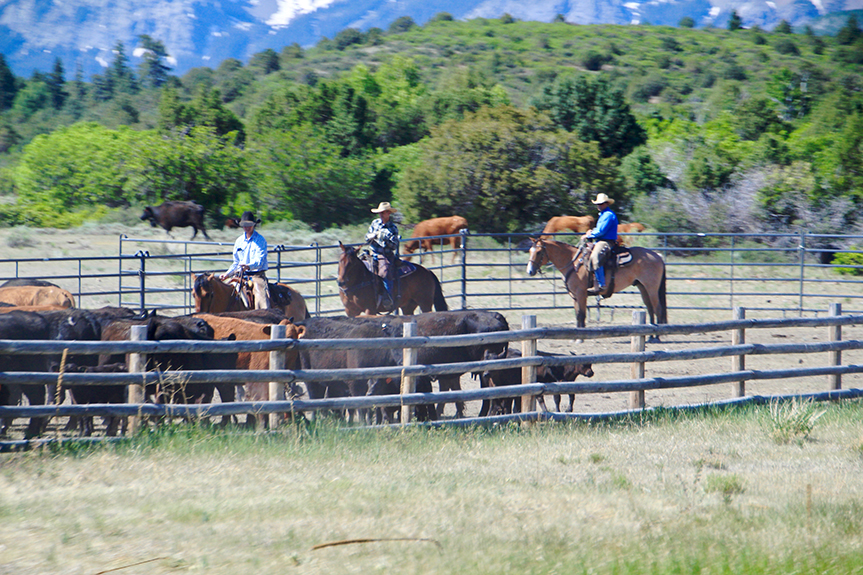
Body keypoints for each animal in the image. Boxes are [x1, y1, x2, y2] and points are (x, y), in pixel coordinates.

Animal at [528, 236, 668, 330]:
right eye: (530, 251)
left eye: (539, 252)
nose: (529, 271)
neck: (573, 262)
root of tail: (657, 256)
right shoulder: (574, 295)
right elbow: (577, 314)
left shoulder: (581, 293)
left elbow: (582, 314)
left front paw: (580, 338)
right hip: (642, 287)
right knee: (650, 308)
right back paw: (650, 335)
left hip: (652, 288)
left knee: (657, 308)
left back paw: (656, 337)